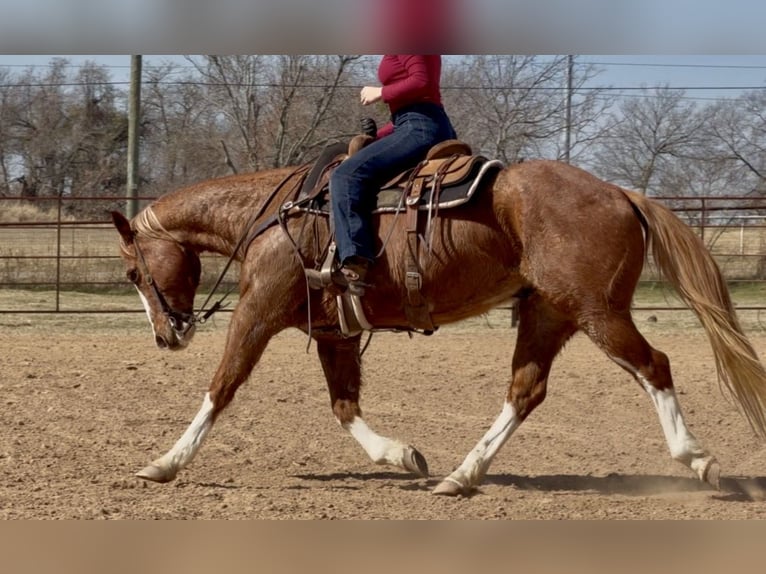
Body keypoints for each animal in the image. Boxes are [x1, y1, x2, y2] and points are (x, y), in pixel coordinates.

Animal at [110, 157, 766, 496]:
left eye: (132, 272)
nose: (166, 336)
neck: (277, 216)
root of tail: (621, 193)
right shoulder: (334, 331)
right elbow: (344, 405)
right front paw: (402, 456)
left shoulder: (258, 312)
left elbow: (222, 386)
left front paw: (165, 462)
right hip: (547, 313)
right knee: (525, 390)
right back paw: (461, 475)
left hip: (597, 312)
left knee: (654, 366)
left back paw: (699, 459)